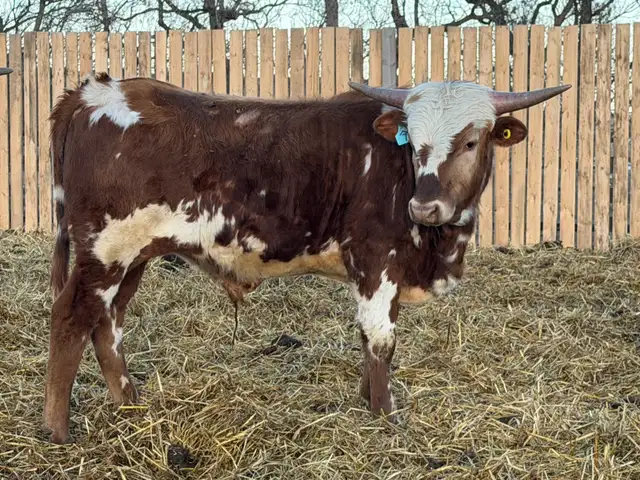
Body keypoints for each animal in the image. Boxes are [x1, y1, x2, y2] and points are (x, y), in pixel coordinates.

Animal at [44, 71, 569, 444]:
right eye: (414, 142)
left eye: (471, 141)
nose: (425, 206)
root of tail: (93, 91)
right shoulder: (377, 259)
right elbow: (381, 341)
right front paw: (385, 417)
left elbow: (369, 338)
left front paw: (367, 401)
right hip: (104, 251)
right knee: (71, 318)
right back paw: (57, 430)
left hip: (133, 256)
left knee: (108, 324)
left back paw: (131, 405)